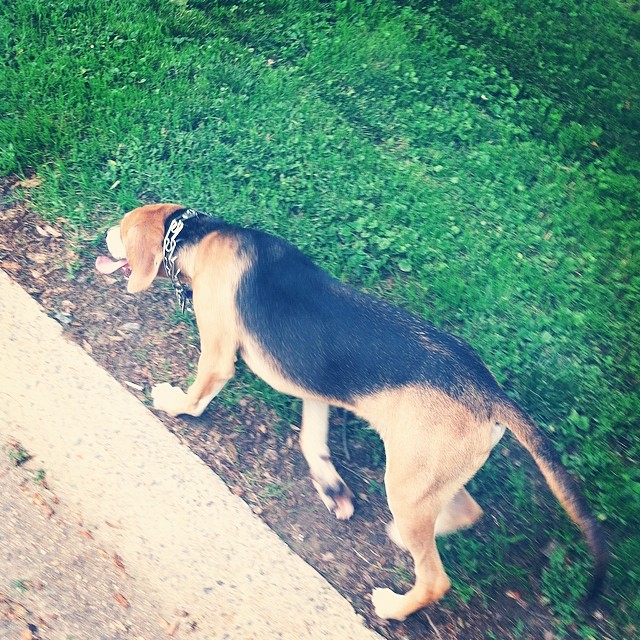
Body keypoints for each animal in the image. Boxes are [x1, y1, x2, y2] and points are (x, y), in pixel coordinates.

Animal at [97, 204, 608, 620]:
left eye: (121, 229)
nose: (104, 235)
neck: (198, 236)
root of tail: (489, 392)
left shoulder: (219, 356)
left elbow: (197, 394)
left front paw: (173, 403)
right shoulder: (316, 386)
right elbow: (311, 439)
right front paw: (331, 486)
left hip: (407, 484)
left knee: (435, 578)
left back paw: (395, 607)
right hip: (423, 479)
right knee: (464, 511)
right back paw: (404, 535)